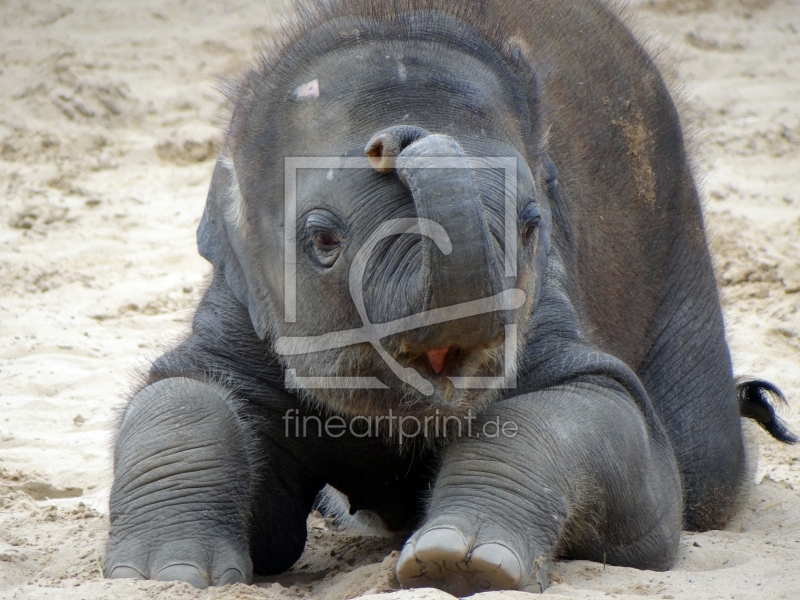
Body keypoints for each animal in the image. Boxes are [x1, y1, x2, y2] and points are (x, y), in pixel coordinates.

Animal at [104, 0, 792, 592]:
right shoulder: (242, 307)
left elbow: (606, 417)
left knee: (706, 467)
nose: (397, 139)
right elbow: (186, 394)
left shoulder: (546, 300)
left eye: (530, 224)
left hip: (677, 226)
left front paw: (463, 563)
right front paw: (165, 575)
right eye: (323, 238)